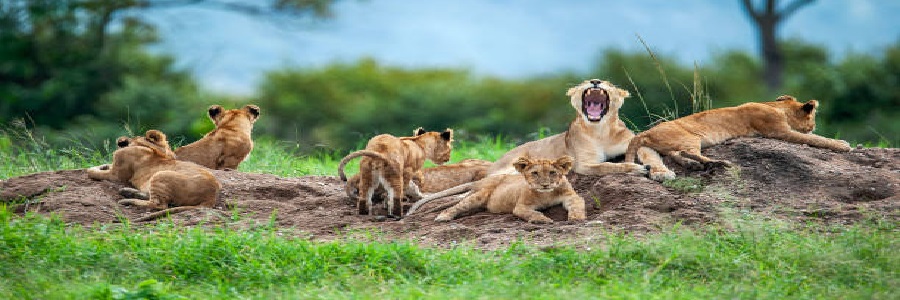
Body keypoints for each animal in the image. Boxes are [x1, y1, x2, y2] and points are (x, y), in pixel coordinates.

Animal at [87, 130, 222, 221]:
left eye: (134, 137)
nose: (121, 140)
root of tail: (211, 197)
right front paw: (103, 165)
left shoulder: (116, 175)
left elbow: (90, 171)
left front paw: (96, 168)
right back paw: (127, 192)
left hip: (160, 175)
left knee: (159, 205)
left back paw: (127, 200)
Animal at [404, 78, 656, 216]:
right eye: (585, 82)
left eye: (608, 83)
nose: (595, 81)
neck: (600, 129)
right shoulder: (583, 164)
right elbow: (610, 166)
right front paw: (636, 169)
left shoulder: (632, 141)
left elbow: (647, 152)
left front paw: (660, 171)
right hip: (509, 169)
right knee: (472, 190)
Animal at [434, 156, 588, 224]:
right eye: (535, 173)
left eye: (552, 173)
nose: (545, 185)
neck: (546, 195)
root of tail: (480, 181)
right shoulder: (521, 206)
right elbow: (531, 213)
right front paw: (543, 219)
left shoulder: (571, 196)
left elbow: (577, 205)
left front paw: (576, 217)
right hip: (480, 194)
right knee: (459, 205)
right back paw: (443, 216)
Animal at [624, 95, 852, 179]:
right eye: (813, 119)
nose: (813, 126)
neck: (776, 106)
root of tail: (645, 132)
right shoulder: (778, 132)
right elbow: (816, 140)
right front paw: (842, 144)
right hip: (691, 137)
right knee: (686, 152)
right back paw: (719, 163)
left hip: (663, 146)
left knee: (676, 154)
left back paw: (695, 166)